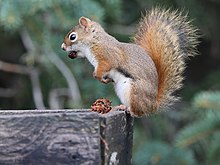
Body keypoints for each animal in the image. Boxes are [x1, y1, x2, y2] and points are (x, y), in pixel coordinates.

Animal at [61, 7, 199, 116]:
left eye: (72, 36)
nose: (62, 47)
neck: (95, 40)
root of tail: (153, 105)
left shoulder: (108, 56)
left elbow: (105, 67)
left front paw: (98, 76)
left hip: (134, 91)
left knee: (138, 112)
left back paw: (129, 110)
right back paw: (121, 106)